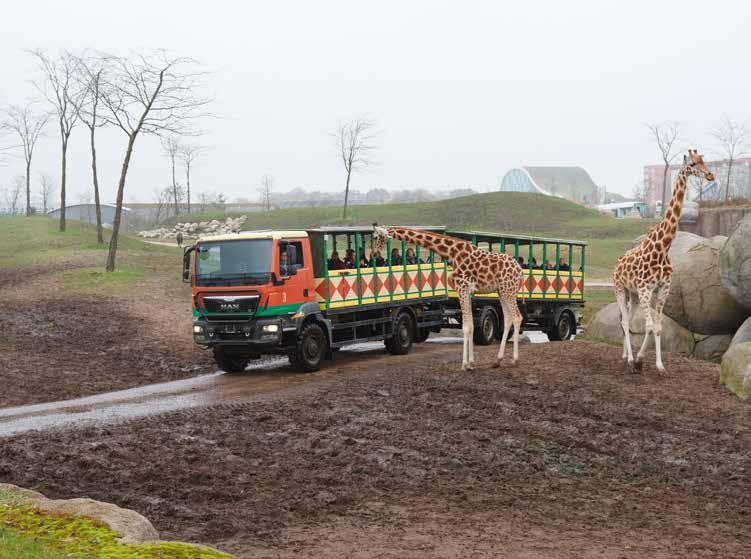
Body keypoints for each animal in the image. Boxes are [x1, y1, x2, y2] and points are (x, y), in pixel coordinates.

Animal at [374, 223, 524, 372]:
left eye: (375, 237)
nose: (374, 254)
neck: (452, 253)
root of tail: (519, 270)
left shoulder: (462, 289)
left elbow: (466, 327)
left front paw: (465, 364)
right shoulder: (467, 291)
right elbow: (470, 325)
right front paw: (471, 363)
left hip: (509, 290)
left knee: (517, 317)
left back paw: (515, 360)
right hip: (502, 291)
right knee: (508, 319)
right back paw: (497, 361)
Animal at [612, 151, 712, 374]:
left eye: (704, 160)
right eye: (693, 164)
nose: (711, 175)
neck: (663, 248)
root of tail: (617, 262)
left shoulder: (662, 289)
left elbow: (658, 327)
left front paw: (659, 365)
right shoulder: (645, 289)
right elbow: (649, 326)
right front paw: (639, 360)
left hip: (633, 295)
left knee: (625, 321)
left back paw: (624, 355)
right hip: (620, 289)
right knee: (624, 322)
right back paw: (629, 360)